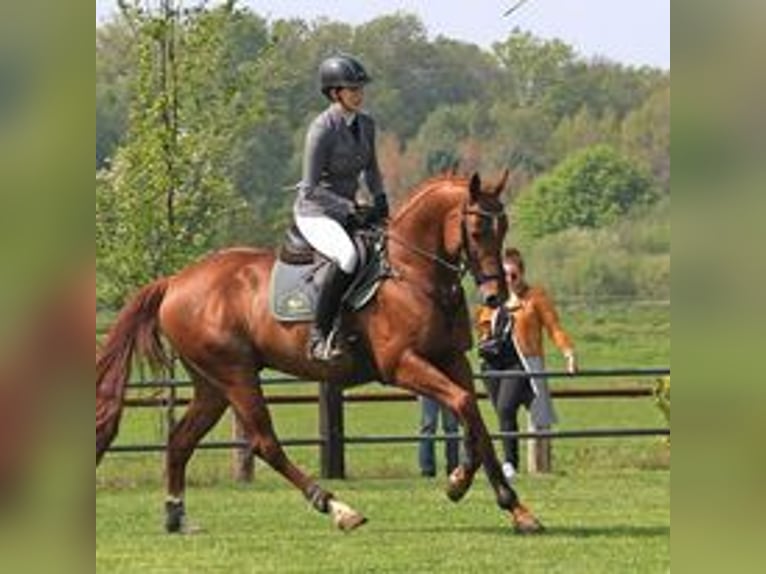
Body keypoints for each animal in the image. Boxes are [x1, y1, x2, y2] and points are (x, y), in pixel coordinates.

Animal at [96, 171, 544, 534]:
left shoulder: (453, 360)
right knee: (264, 442)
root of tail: (175, 281)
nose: (495, 297)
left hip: (211, 383)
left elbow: (474, 418)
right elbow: (464, 404)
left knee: (180, 440)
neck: (414, 272)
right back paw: (337, 508)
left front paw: (491, 496)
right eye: (478, 229)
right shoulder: (403, 365)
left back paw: (176, 516)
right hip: (236, 374)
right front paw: (475, 487)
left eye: (504, 226)